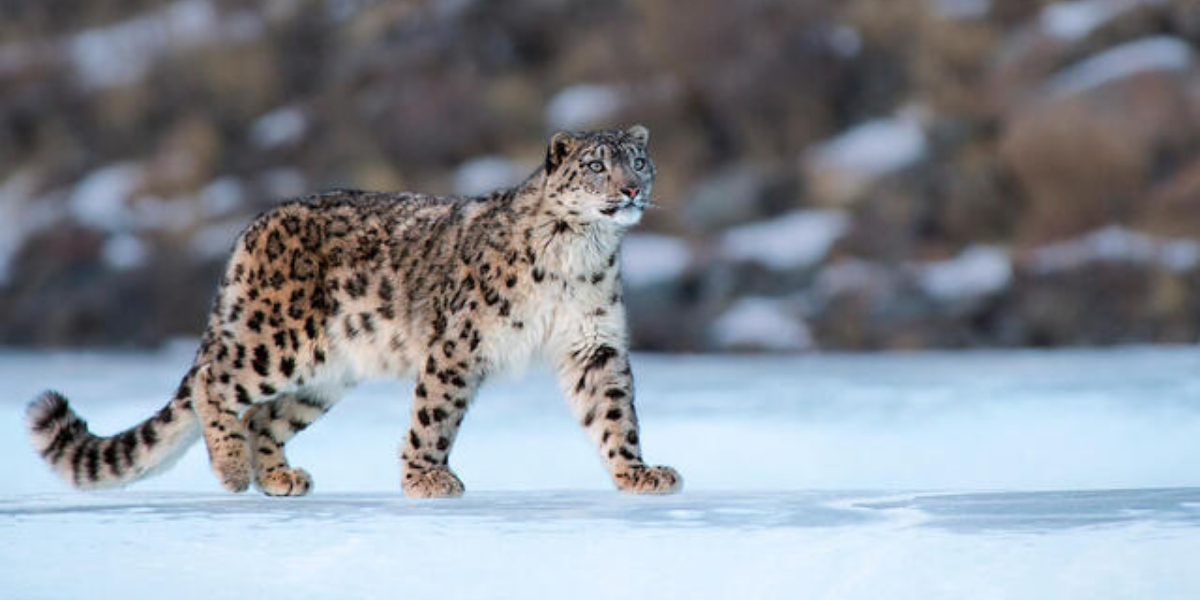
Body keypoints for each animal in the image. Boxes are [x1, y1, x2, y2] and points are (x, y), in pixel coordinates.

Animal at [28, 125, 681, 496]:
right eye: (596, 165)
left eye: (637, 161)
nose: (630, 189)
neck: (581, 251)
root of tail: (252, 228)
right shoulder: (458, 343)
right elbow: (435, 413)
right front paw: (425, 478)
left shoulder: (593, 343)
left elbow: (614, 413)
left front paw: (637, 472)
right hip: (276, 343)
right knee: (216, 380)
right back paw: (233, 470)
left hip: (325, 375)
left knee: (265, 418)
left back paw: (279, 478)